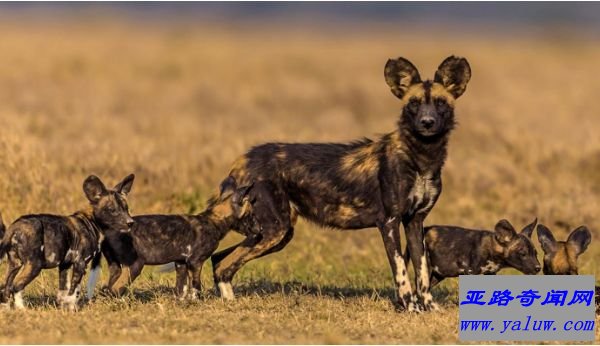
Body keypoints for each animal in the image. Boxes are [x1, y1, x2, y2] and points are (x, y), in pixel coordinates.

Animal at [0, 173, 135, 310]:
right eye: (112, 210)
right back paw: (22, 309)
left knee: (6, 288)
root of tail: (16, 226)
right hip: (34, 265)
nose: (131, 223)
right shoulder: (80, 263)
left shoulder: (65, 265)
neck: (91, 222)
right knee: (16, 286)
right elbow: (74, 292)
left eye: (126, 209)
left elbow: (63, 291)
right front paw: (72, 309)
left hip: (14, 264)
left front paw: (62, 308)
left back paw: (7, 309)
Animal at [86, 177, 276, 298]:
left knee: (107, 288)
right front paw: (196, 302)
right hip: (135, 266)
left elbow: (181, 289)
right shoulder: (195, 262)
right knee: (115, 289)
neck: (213, 221)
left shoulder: (181, 263)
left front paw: (182, 303)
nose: (261, 229)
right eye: (251, 216)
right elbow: (196, 287)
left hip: (116, 268)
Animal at [212, 56, 474, 310]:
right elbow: (401, 270)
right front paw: (410, 307)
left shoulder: (415, 221)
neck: (421, 157)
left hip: (273, 234)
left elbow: (422, 273)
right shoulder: (389, 222)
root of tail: (244, 159)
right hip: (275, 230)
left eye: (440, 103)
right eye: (414, 103)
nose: (427, 122)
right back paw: (230, 305)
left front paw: (429, 307)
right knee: (225, 264)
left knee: (218, 260)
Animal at [406, 218, 540, 286]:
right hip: (425, 270)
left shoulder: (490, 273)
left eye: (535, 253)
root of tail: (425, 229)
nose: (538, 268)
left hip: (438, 275)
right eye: (523, 254)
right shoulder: (470, 272)